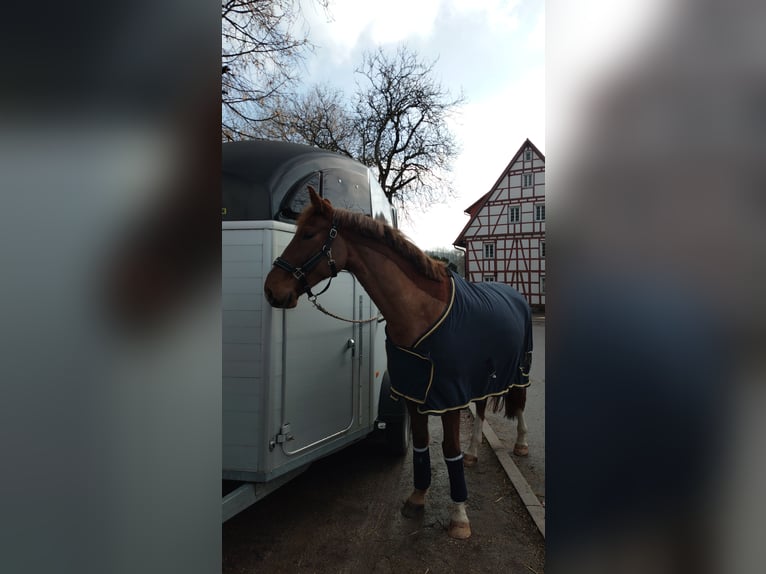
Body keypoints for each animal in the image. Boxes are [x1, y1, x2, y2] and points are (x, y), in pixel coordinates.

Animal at [264, 187, 533, 540]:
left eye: (308, 234)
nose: (272, 289)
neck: (419, 313)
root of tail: (516, 294)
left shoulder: (448, 397)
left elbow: (450, 449)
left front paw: (459, 516)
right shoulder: (413, 392)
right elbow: (420, 444)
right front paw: (417, 497)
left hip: (520, 370)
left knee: (521, 403)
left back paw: (522, 445)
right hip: (485, 375)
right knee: (484, 407)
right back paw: (475, 453)